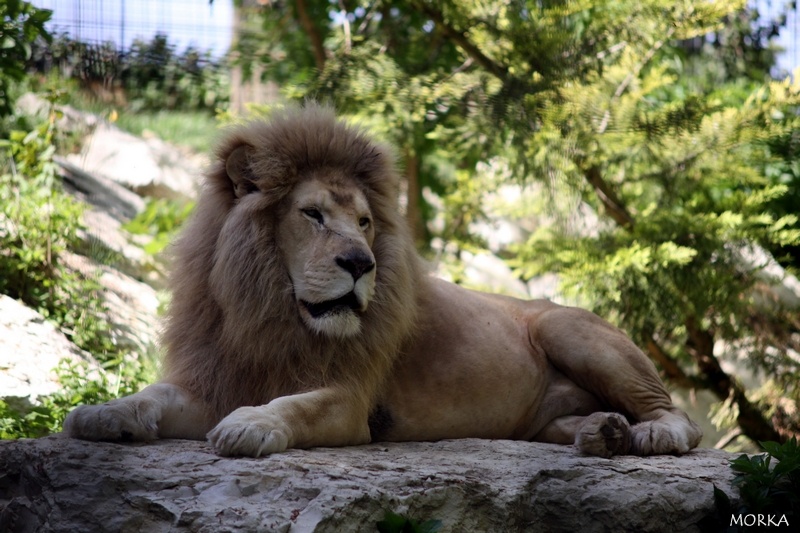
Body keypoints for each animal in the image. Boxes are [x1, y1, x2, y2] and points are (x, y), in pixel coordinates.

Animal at [62, 104, 700, 458]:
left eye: (366, 222)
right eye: (313, 215)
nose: (361, 263)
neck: (267, 312)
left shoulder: (350, 401)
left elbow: (297, 405)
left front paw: (252, 424)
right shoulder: (217, 377)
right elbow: (153, 395)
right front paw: (103, 413)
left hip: (572, 331)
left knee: (676, 415)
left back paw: (650, 436)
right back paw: (603, 433)